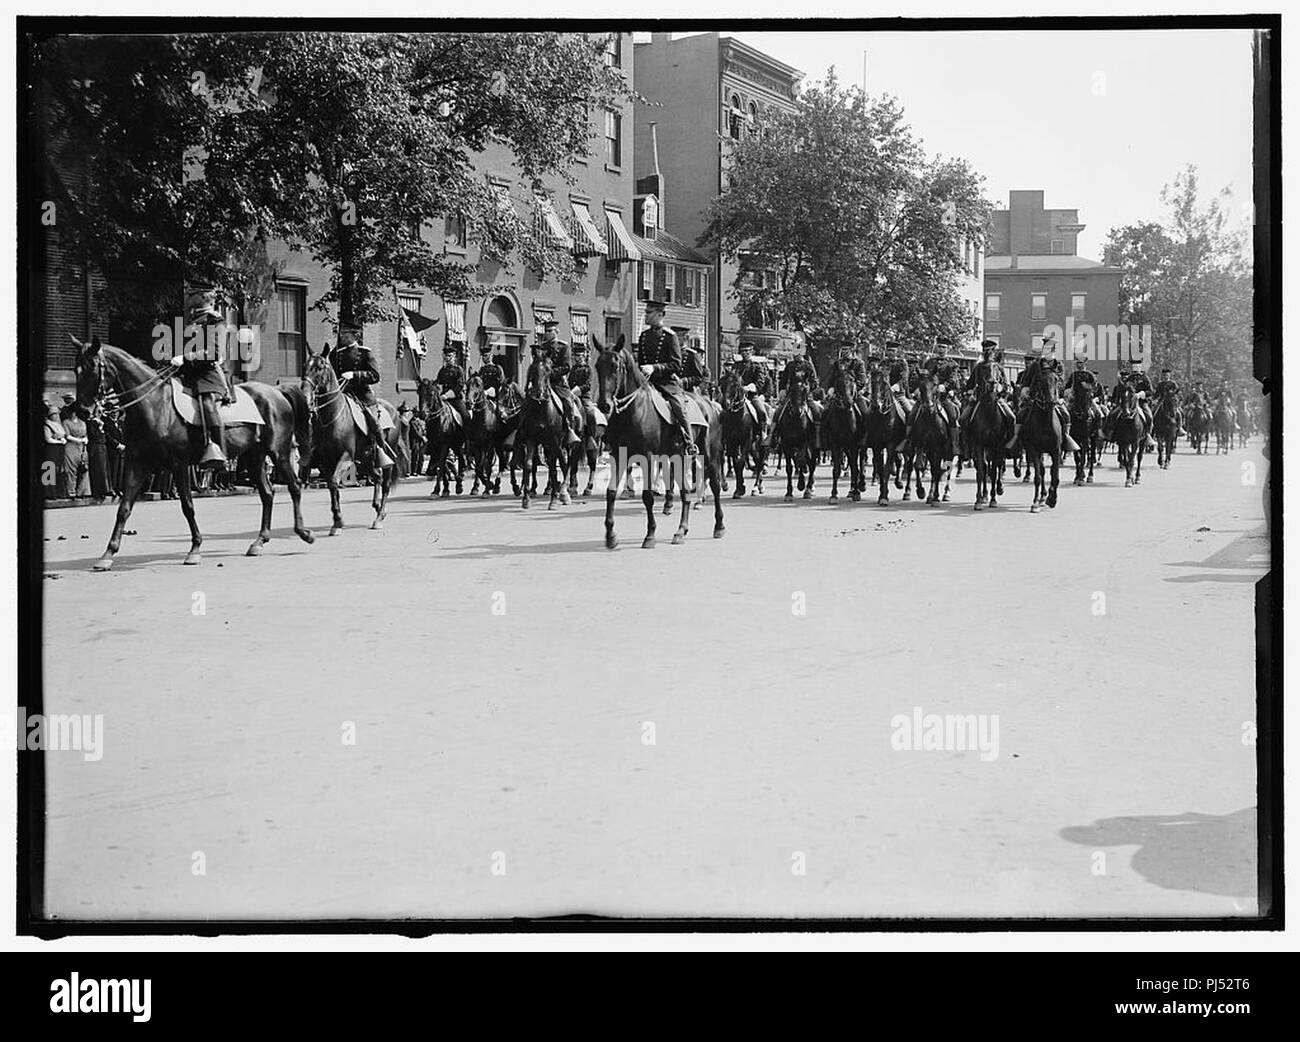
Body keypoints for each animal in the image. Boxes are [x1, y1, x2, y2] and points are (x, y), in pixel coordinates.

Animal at [71, 337, 314, 569]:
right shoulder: (137, 463)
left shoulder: (179, 466)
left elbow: (187, 507)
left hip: (279, 452)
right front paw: (107, 554)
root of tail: (277, 392)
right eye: (76, 370)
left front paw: (195, 549)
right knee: (267, 493)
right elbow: (124, 508)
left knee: (294, 486)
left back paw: (304, 532)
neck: (155, 405)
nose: (82, 411)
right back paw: (259, 542)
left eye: (93, 368)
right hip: (254, 456)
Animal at [300, 345, 397, 532]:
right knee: (377, 477)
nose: (305, 398)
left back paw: (379, 517)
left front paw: (338, 520)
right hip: (366, 458)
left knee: (386, 482)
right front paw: (337, 520)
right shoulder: (325, 461)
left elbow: (334, 482)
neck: (332, 416)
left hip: (384, 455)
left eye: (320, 368)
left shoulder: (345, 457)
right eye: (304, 366)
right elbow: (332, 485)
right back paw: (376, 507)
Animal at [595, 332, 728, 548]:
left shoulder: (647, 457)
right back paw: (681, 531)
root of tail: (710, 405)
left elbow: (648, 495)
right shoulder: (618, 455)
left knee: (714, 484)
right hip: (679, 456)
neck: (633, 409)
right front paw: (610, 535)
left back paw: (719, 525)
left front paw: (650, 535)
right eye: (598, 366)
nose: (604, 405)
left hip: (709, 453)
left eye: (616, 366)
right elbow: (611, 492)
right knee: (685, 492)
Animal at [717, 366, 764, 496]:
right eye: (722, 384)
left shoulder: (746, 441)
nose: (725, 404)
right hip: (752, 447)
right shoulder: (731, 442)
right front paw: (739, 487)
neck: (738, 416)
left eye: (736, 385)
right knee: (757, 461)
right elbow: (735, 462)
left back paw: (756, 487)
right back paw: (758, 485)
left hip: (757, 443)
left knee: (760, 462)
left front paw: (740, 488)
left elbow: (741, 462)